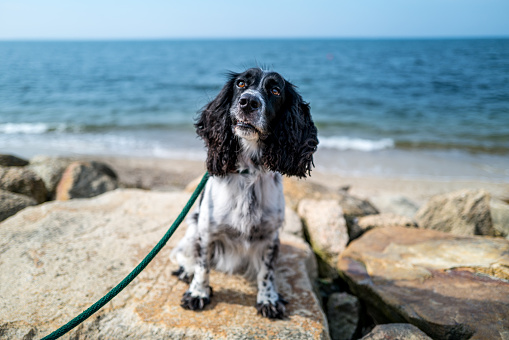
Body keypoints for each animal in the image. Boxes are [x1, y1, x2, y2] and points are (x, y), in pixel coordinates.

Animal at [171, 67, 318, 318]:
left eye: (275, 90)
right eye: (240, 84)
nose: (248, 101)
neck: (250, 171)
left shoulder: (270, 236)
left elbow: (267, 272)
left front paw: (268, 299)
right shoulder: (207, 231)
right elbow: (202, 266)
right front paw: (198, 293)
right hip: (193, 226)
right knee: (184, 253)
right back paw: (186, 271)